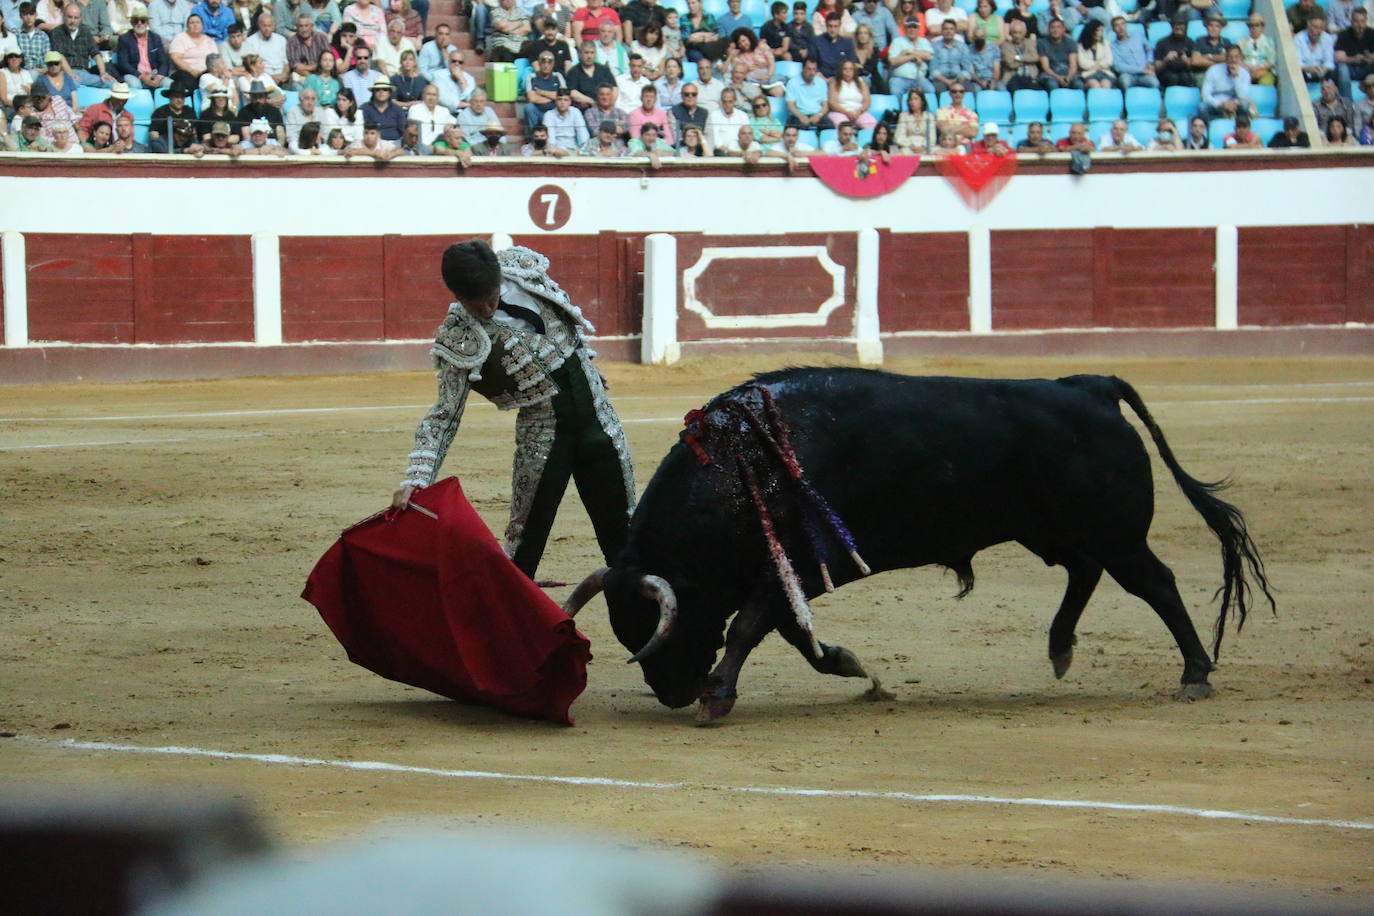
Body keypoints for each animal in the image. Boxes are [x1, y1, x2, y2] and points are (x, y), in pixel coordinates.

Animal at [563, 368, 1269, 725]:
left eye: (665, 628)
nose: (672, 693)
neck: (740, 462)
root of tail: (1087, 385)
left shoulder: (796, 565)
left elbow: (749, 627)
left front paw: (717, 697)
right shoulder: (793, 573)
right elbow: (792, 632)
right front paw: (851, 666)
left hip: (1113, 530)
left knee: (1156, 583)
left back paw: (1194, 675)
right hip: (1054, 529)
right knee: (1084, 572)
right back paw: (1060, 647)